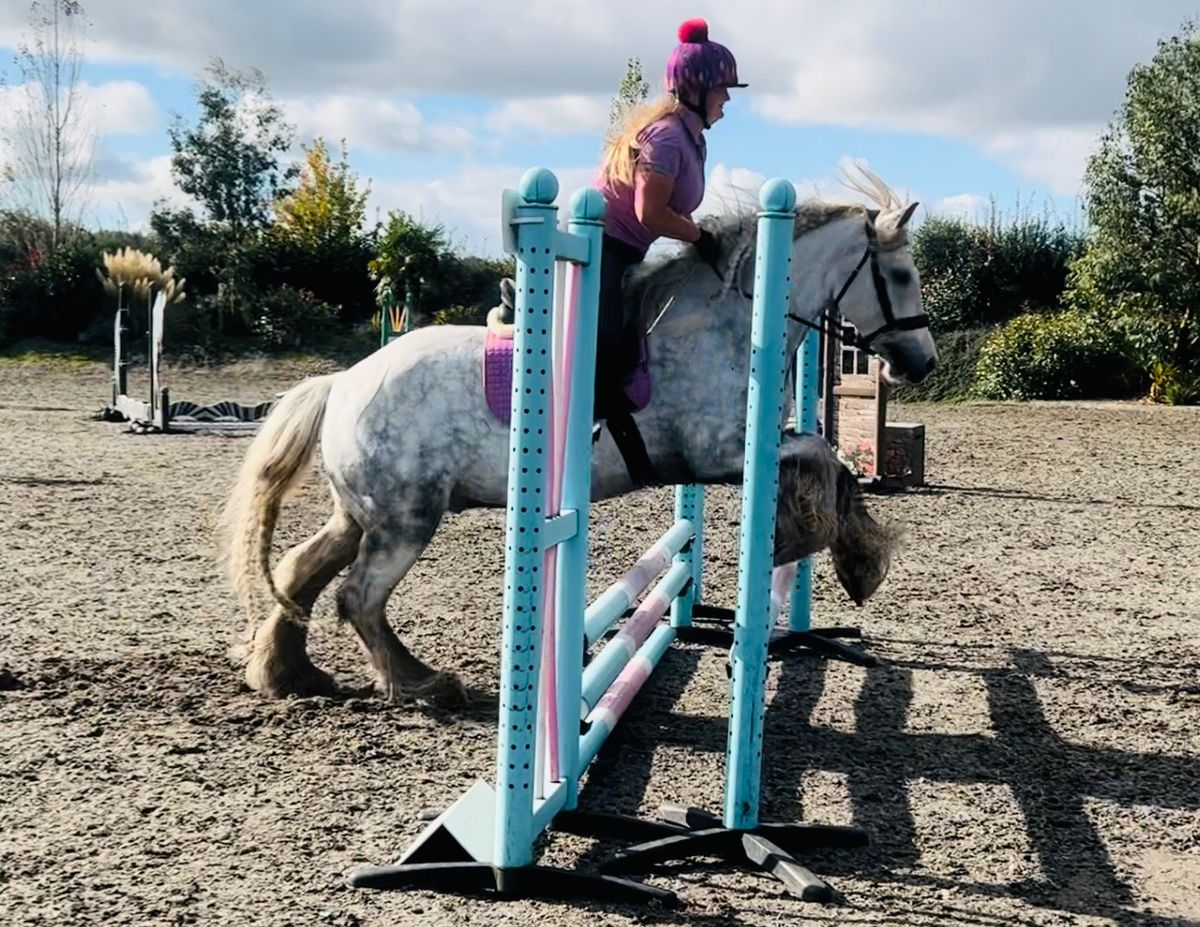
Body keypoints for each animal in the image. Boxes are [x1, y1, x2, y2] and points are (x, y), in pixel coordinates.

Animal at [223, 184, 936, 706]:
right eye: (902, 274)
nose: (922, 364)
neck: (733, 322)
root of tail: (341, 381)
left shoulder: (732, 456)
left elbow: (831, 462)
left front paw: (847, 554)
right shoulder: (720, 455)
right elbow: (825, 456)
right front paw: (839, 554)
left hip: (363, 513)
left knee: (299, 571)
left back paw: (287, 673)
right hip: (406, 518)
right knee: (359, 597)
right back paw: (421, 683)